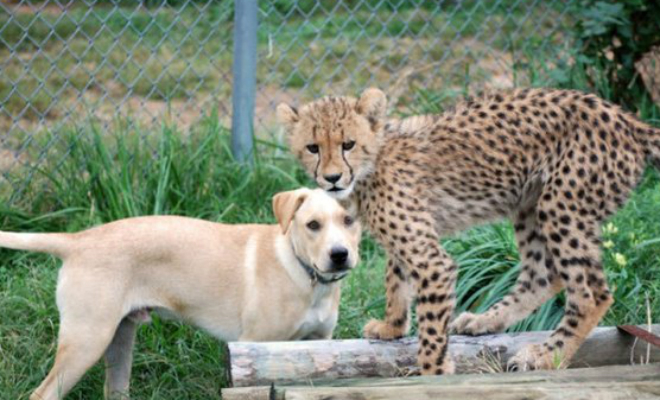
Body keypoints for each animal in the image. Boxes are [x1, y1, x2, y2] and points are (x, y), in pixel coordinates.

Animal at [278, 87, 660, 376]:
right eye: (313, 147)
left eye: (348, 144)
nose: (331, 178)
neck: (372, 164)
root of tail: (629, 121)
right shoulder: (406, 241)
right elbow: (396, 277)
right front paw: (392, 326)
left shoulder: (432, 259)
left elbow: (431, 324)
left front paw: (433, 370)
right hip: (529, 203)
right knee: (543, 275)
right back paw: (486, 320)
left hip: (561, 205)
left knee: (592, 292)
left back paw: (546, 355)